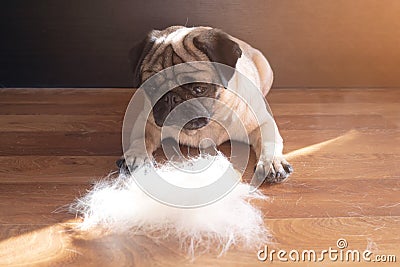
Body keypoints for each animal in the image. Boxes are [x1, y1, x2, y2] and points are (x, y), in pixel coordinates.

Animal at [117, 25, 292, 184]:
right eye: (152, 88)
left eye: (199, 89)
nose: (171, 98)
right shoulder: (147, 120)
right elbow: (141, 138)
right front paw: (136, 155)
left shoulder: (262, 123)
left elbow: (268, 142)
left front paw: (272, 163)